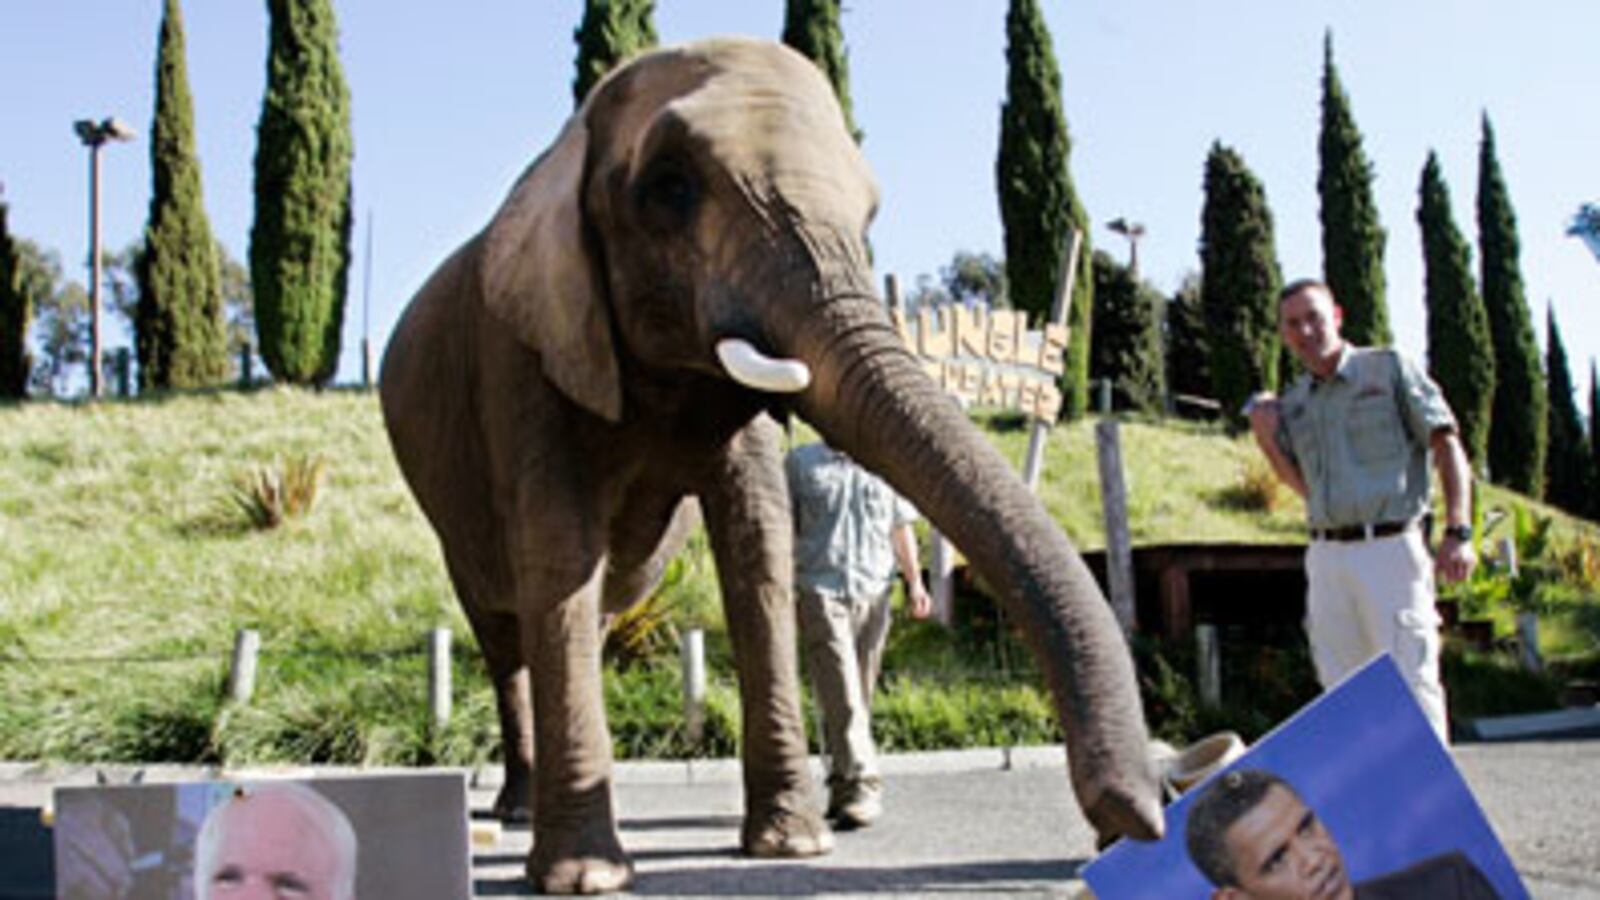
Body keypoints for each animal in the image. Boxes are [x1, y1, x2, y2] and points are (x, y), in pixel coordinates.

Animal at [380, 36, 1162, 894]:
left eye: (871, 215)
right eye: (669, 187)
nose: (1132, 820)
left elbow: (756, 542)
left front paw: (794, 848)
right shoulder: (523, 353)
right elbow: (559, 549)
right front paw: (587, 880)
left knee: (596, 611)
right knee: (505, 627)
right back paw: (519, 812)